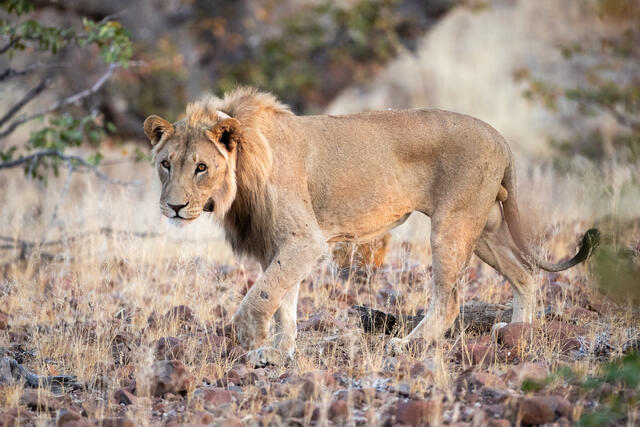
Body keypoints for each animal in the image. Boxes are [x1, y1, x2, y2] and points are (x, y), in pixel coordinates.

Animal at [144, 87, 599, 366]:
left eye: (201, 167)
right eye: (166, 163)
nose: (174, 207)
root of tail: (502, 138)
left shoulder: (304, 239)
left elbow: (262, 296)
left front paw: (252, 339)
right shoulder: (279, 243)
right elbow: (284, 300)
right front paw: (279, 352)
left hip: (452, 224)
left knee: (450, 298)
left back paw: (409, 344)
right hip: (484, 227)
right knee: (525, 273)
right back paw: (520, 328)